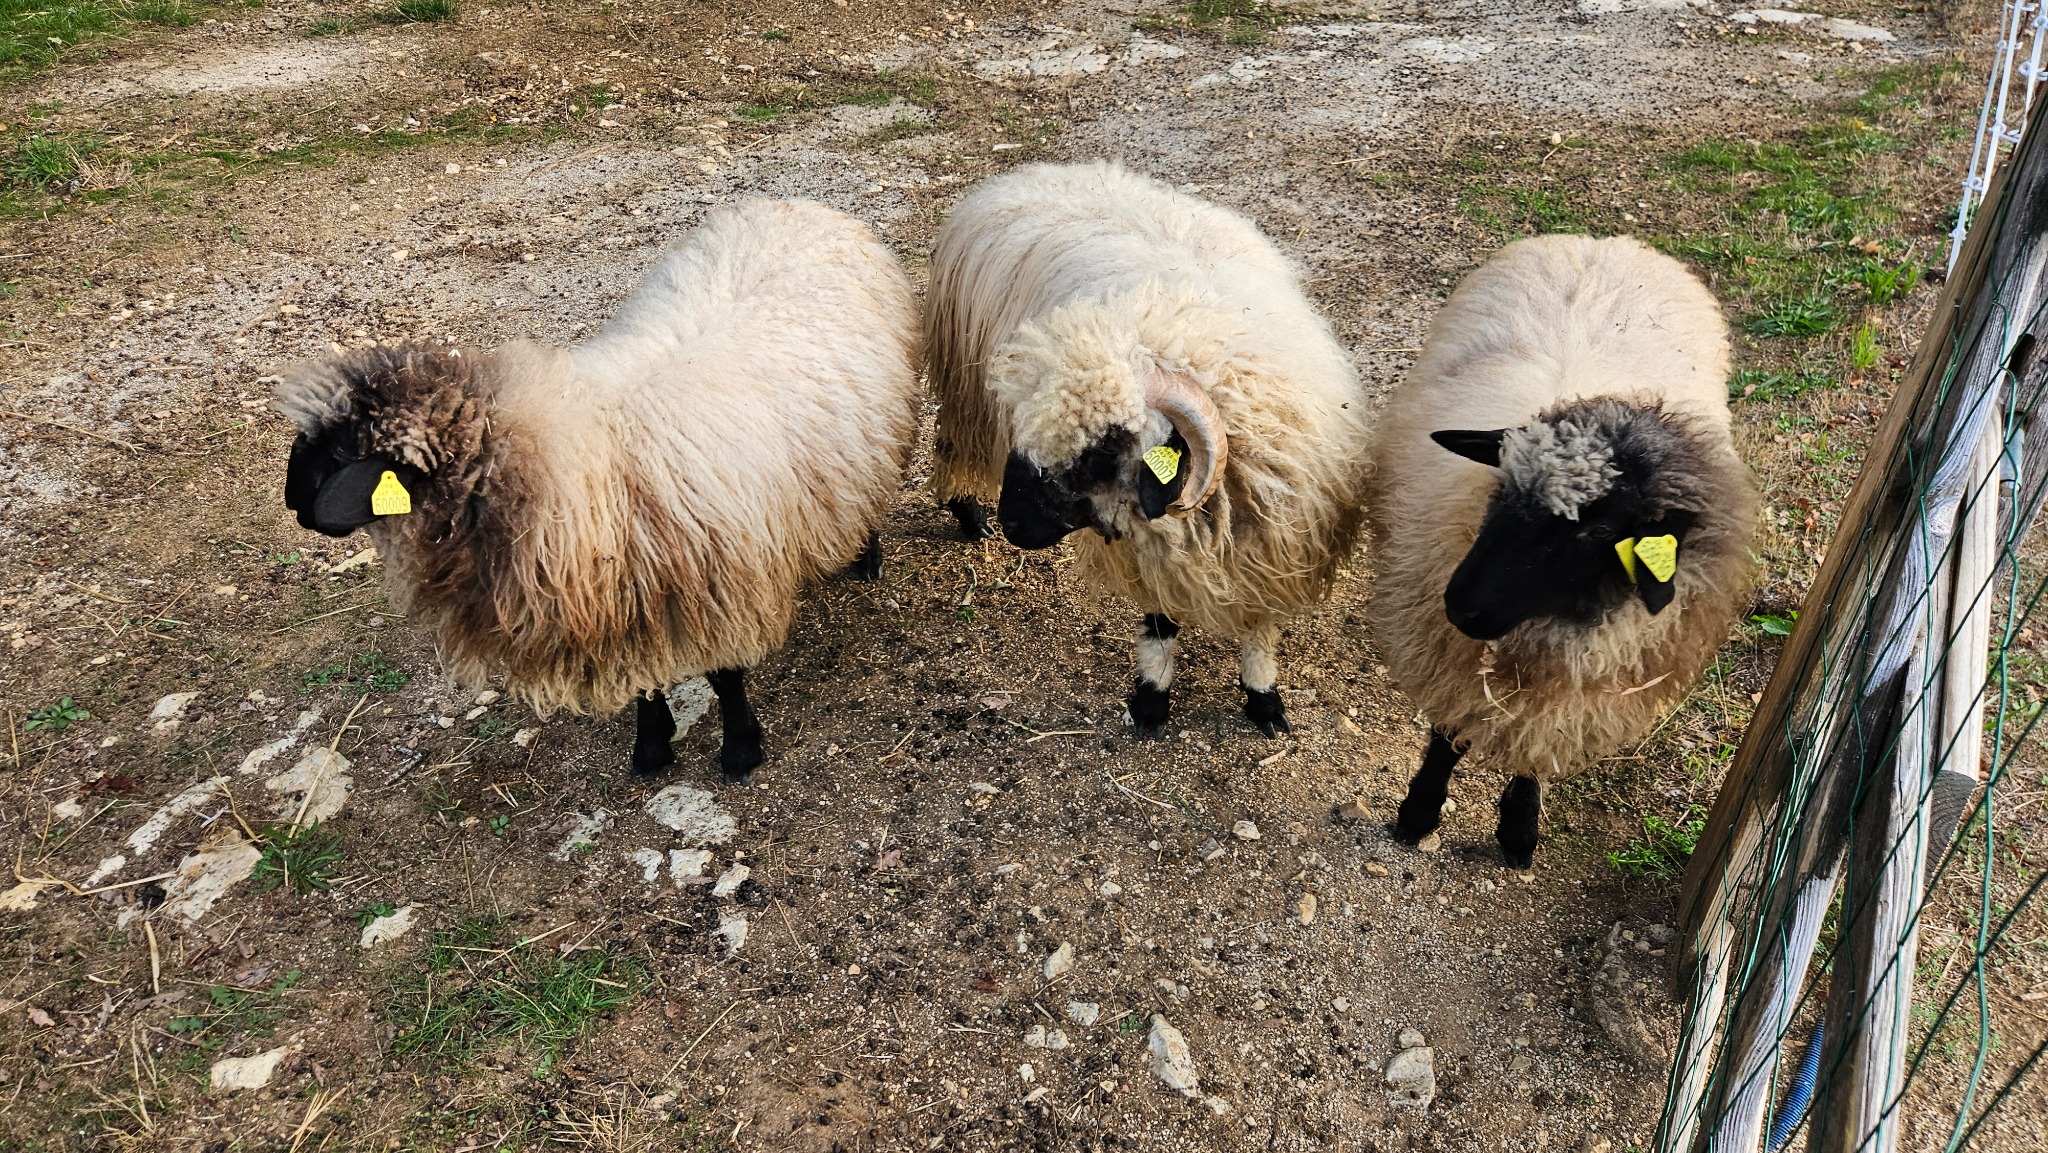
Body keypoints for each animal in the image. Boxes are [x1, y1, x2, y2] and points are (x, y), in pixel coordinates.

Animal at [273, 198, 920, 782]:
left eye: (342, 457)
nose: (294, 504)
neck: (573, 467)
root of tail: (805, 207)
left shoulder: (717, 581)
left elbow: (725, 675)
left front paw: (740, 750)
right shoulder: (626, 594)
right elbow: (644, 683)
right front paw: (652, 747)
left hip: (874, 439)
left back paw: (866, 558)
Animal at [927, 161, 1372, 738]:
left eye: (1100, 452)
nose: (1014, 526)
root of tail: (1022, 176)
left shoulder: (1275, 535)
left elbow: (1259, 621)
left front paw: (1264, 699)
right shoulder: (1155, 541)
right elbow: (1161, 620)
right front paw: (1150, 699)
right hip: (965, 387)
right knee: (951, 446)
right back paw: (966, 512)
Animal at [1366, 233, 1759, 867]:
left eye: (1596, 534)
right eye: (1500, 488)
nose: (1461, 607)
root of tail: (1598, 242)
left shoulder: (1576, 686)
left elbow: (1539, 752)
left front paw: (1520, 827)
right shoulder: (1448, 655)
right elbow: (1447, 737)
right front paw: (1419, 810)